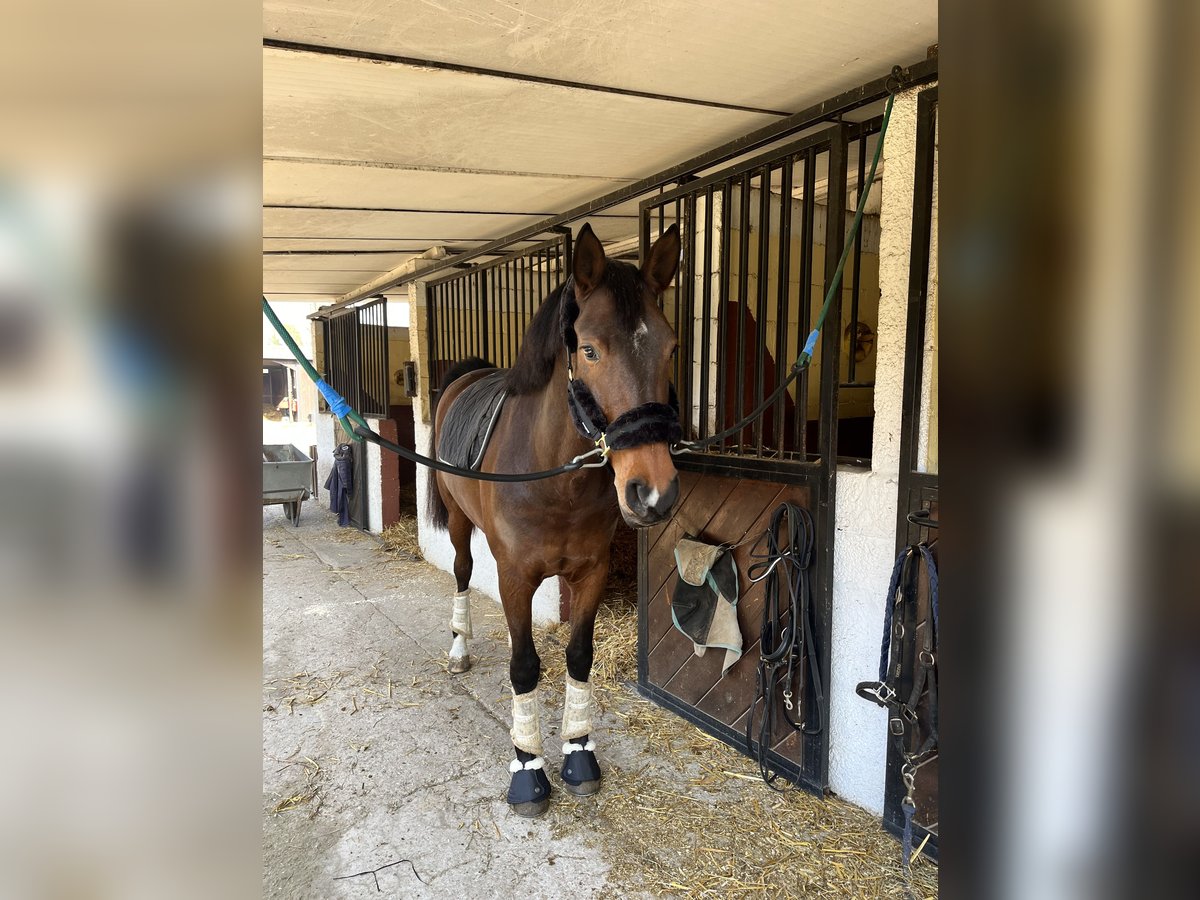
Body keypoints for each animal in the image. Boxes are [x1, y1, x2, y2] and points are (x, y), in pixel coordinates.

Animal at [427, 224, 681, 816]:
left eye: (670, 347)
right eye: (588, 349)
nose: (653, 493)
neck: (554, 478)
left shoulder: (589, 574)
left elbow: (579, 656)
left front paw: (579, 753)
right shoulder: (516, 576)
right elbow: (524, 667)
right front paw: (527, 768)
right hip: (459, 525)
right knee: (462, 572)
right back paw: (459, 647)